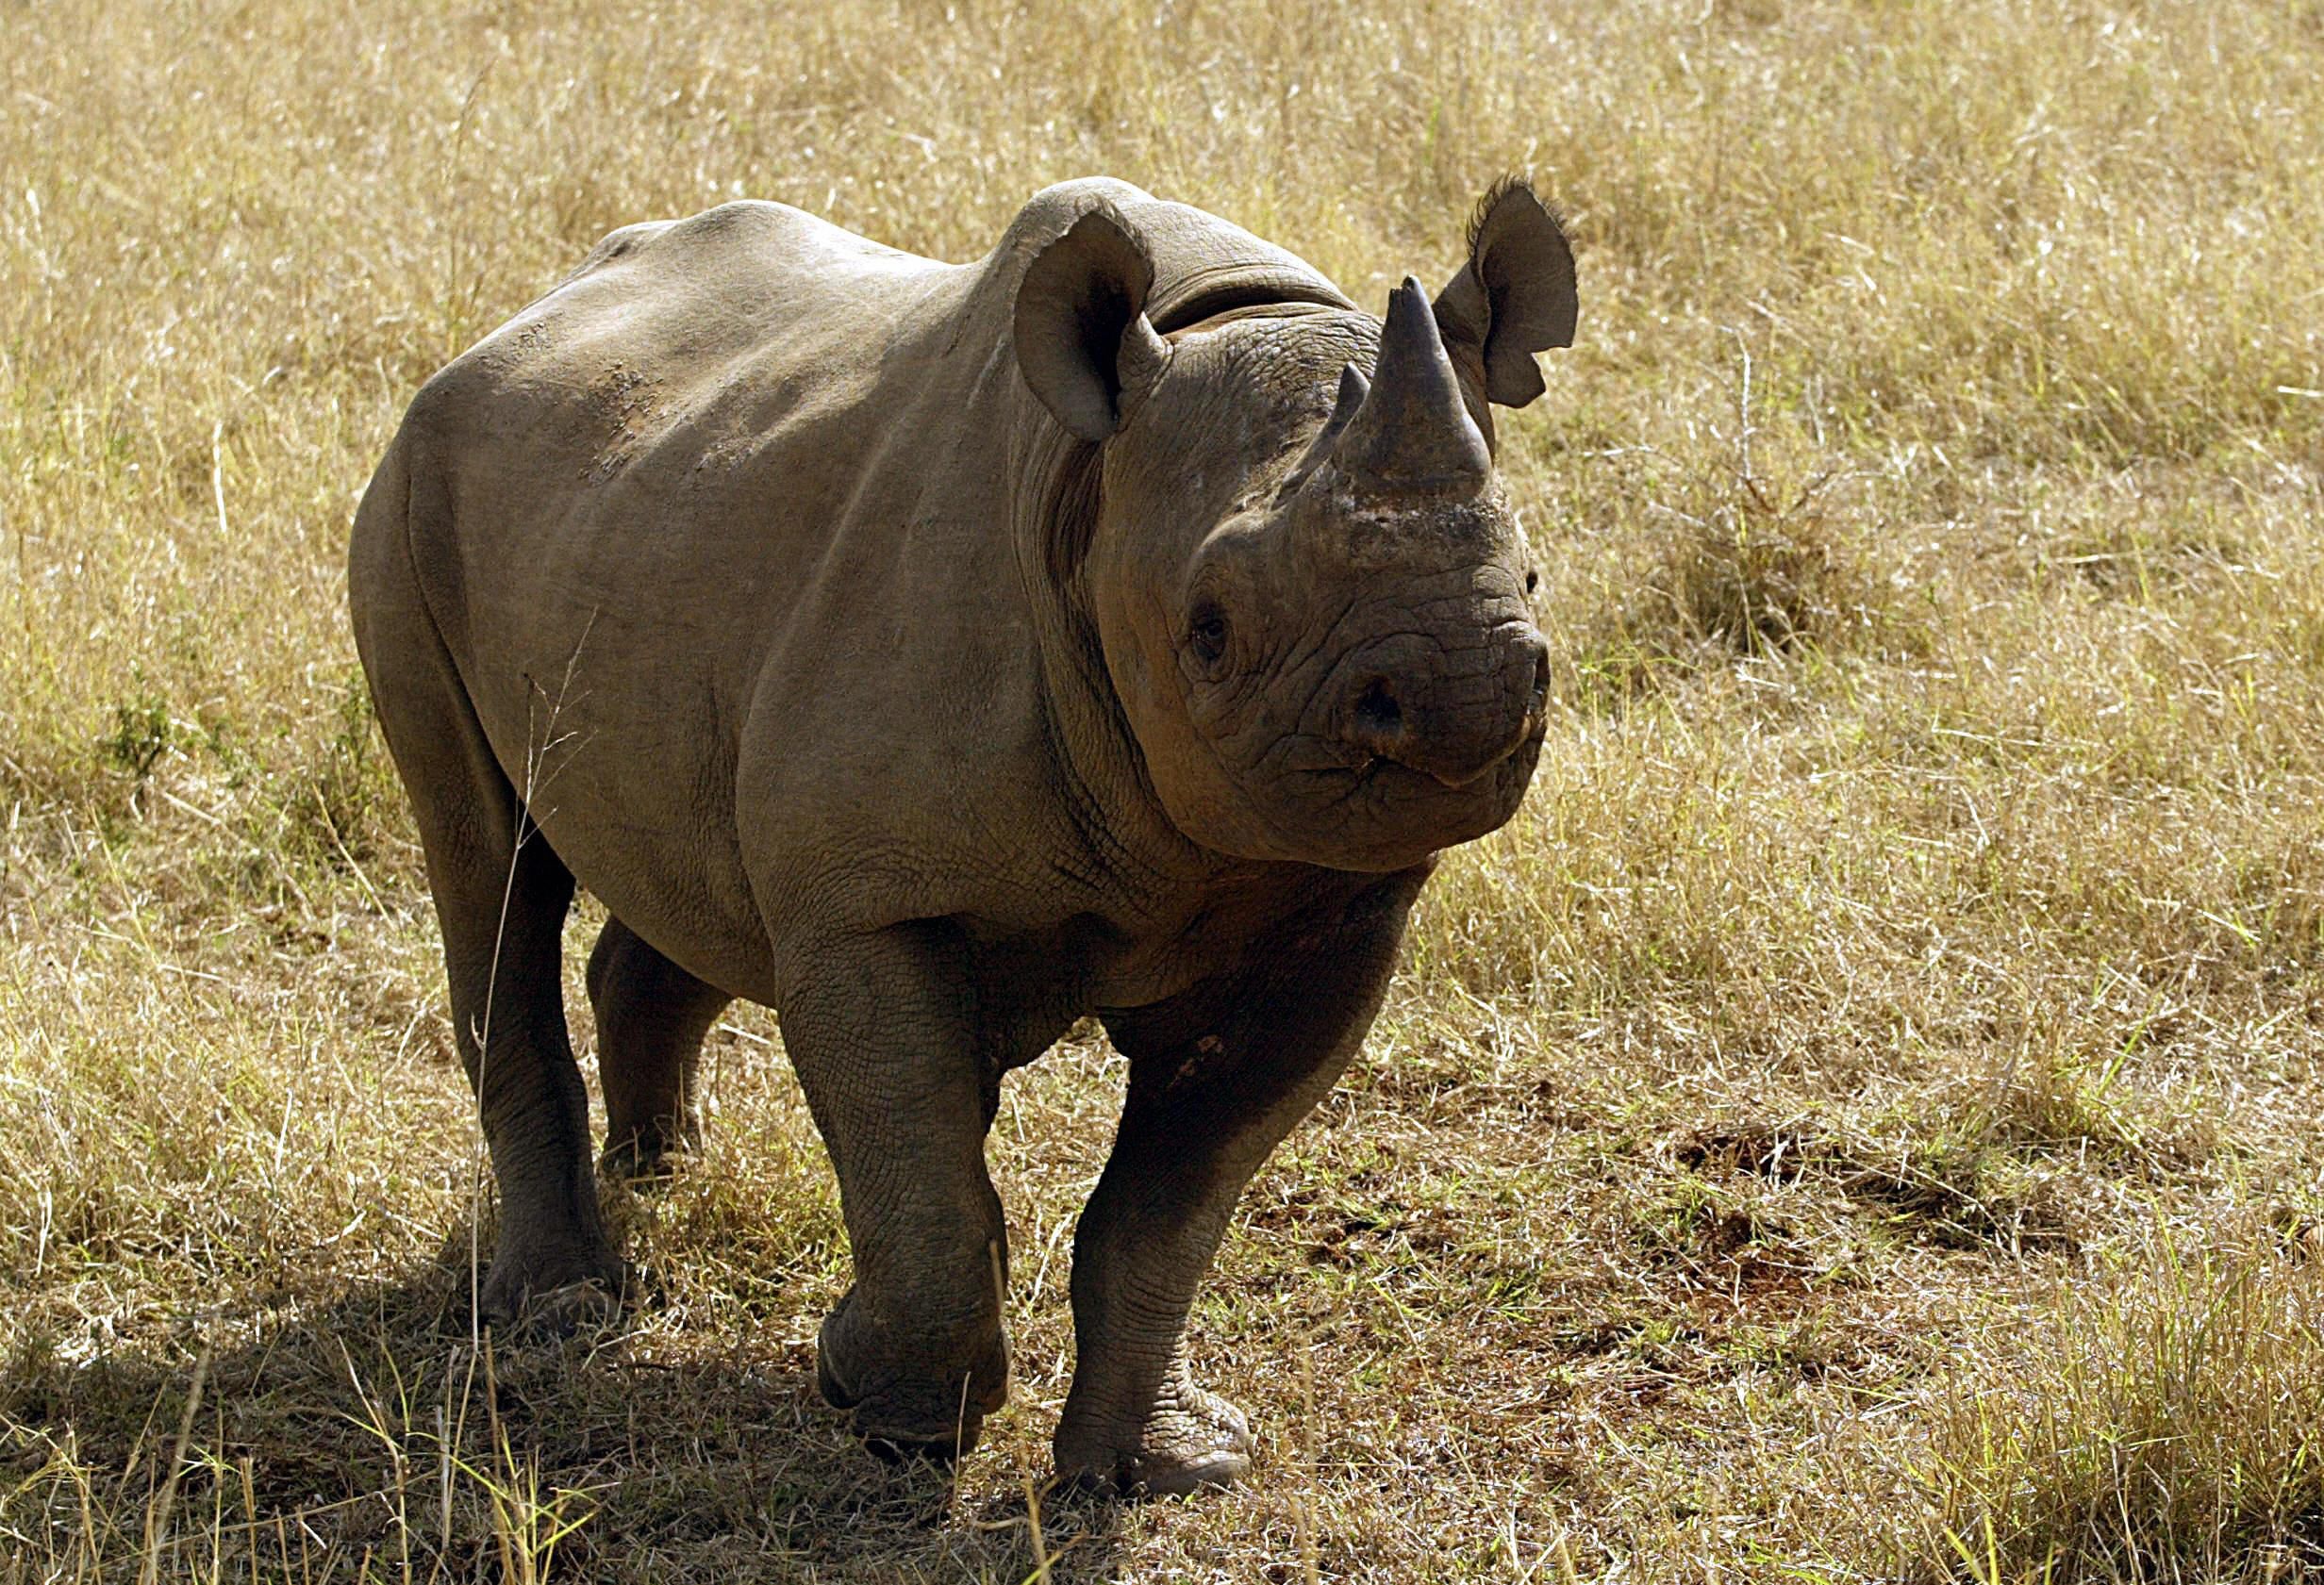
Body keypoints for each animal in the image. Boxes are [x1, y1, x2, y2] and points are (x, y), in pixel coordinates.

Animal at [343, 175, 1580, 1496]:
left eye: (1532, 579)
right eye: (1209, 628)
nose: (1460, 702)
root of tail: (521, 318)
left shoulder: (1336, 902)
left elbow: (1170, 1198)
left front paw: (1159, 1468)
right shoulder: (870, 896)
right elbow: (920, 1161)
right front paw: (885, 1408)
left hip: (636, 512)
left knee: (682, 866)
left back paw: (665, 1172)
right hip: (412, 495)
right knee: (488, 863)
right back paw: (556, 1305)